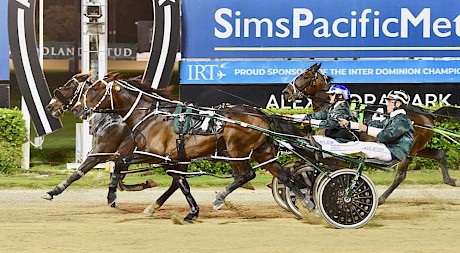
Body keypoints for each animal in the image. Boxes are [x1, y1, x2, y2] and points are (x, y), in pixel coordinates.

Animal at [43, 72, 158, 203]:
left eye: (66, 87)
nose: (49, 106)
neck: (111, 121)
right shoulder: (118, 157)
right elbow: (119, 182)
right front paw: (145, 184)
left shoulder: (98, 154)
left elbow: (77, 173)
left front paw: (52, 192)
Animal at [71, 72, 316, 222]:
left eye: (94, 90)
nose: (77, 109)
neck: (153, 115)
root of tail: (261, 114)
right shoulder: (173, 159)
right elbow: (181, 184)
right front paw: (183, 211)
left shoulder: (155, 155)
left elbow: (121, 162)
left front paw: (112, 196)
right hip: (262, 152)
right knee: (285, 176)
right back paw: (308, 205)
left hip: (237, 151)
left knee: (246, 175)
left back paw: (220, 198)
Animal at [282, 62, 458, 206]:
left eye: (305, 75)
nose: (285, 93)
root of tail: (427, 114)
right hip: (418, 149)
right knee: (440, 153)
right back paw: (451, 180)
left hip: (407, 152)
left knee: (400, 176)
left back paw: (380, 199)